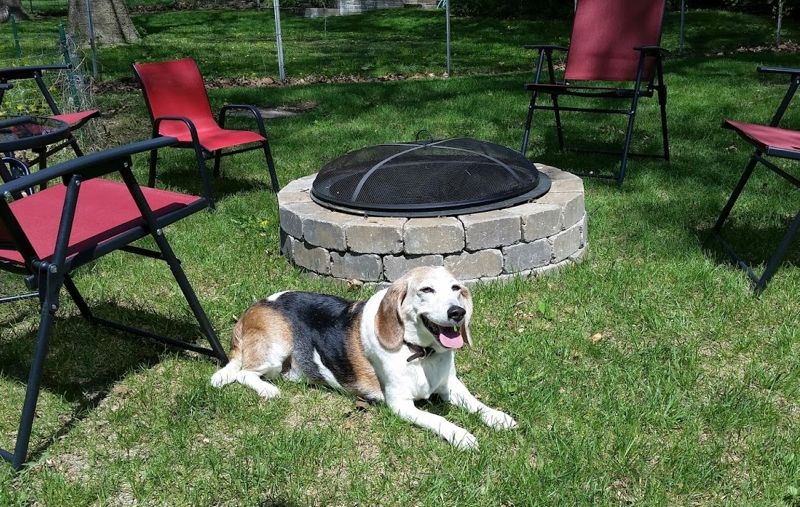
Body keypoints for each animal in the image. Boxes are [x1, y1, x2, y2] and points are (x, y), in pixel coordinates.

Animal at [209, 266, 516, 448]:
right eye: (426, 290)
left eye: (456, 289)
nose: (457, 312)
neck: (419, 353)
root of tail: (251, 309)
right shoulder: (401, 405)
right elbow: (438, 420)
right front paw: (460, 435)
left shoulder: (451, 386)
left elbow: (476, 404)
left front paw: (498, 417)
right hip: (275, 350)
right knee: (243, 373)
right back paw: (267, 390)